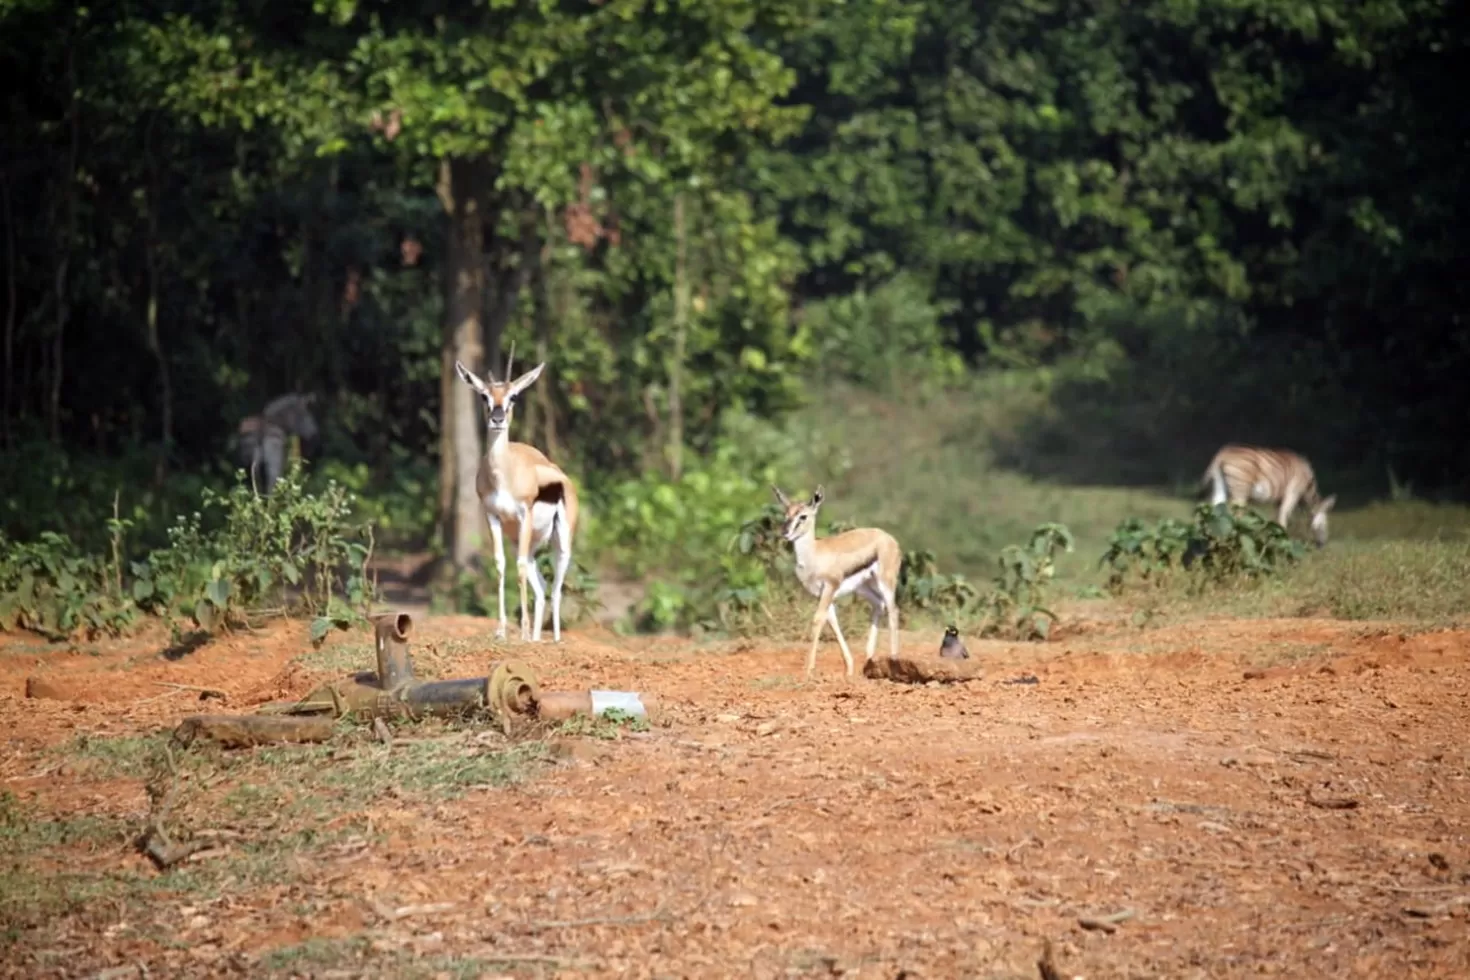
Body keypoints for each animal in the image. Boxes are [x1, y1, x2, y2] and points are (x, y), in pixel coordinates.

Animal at [1199, 446, 1340, 549]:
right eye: (1325, 524)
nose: (1323, 544)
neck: (1308, 484)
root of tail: (1223, 453)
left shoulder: (1279, 500)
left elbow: (1278, 520)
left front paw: (1275, 540)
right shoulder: (1292, 494)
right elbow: (1283, 519)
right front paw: (1284, 544)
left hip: (1220, 487)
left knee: (1216, 513)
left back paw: (1214, 541)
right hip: (1240, 491)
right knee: (1236, 516)